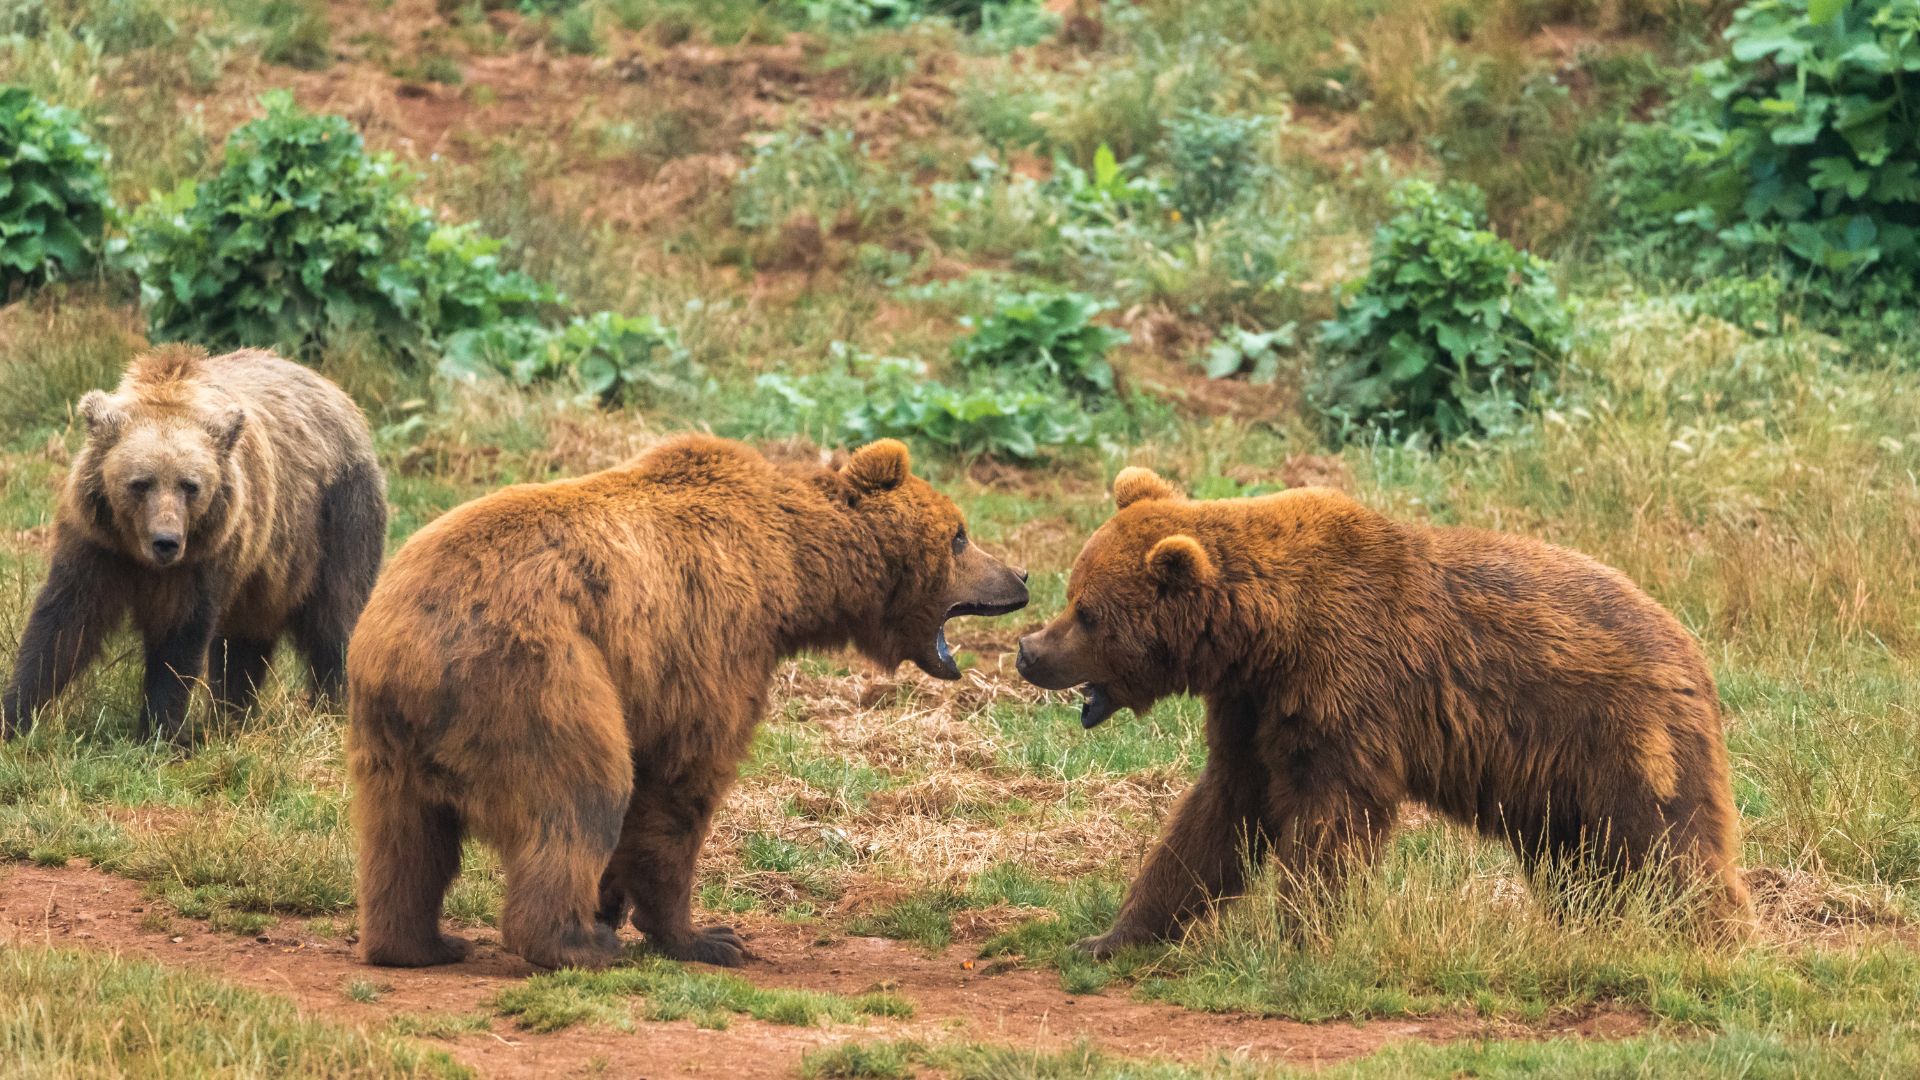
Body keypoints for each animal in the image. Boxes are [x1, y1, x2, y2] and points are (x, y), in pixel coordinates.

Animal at [2, 345, 386, 743]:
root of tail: (336, 391)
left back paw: (333, 707)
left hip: (336, 521)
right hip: (264, 570)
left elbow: (179, 636)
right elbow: (63, 624)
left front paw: (159, 732)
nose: (166, 542)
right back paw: (230, 715)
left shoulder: (203, 556)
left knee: (336, 617)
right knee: (243, 640)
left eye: (190, 485)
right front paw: (16, 718)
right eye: (140, 483)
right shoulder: (98, 544)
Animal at [347, 435, 1028, 971]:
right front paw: (705, 936)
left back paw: (420, 944)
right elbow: (680, 784)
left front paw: (616, 902)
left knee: (405, 840)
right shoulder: (711, 639)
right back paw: (574, 943)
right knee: (580, 794)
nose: (1020, 576)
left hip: (389, 738)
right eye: (960, 536)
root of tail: (404, 644)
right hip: (534, 678)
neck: (790, 571)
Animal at [1015, 468, 1753, 958]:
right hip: (1554, 784)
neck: (1265, 635)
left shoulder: (1345, 685)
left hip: (1621, 736)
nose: (1028, 651)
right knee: (1575, 863)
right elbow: (1219, 814)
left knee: (1672, 846)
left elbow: (1330, 819)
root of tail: (1693, 648)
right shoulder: (1253, 708)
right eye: (1074, 593)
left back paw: (1715, 945)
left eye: (1087, 612)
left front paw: (1303, 940)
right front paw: (1111, 935)